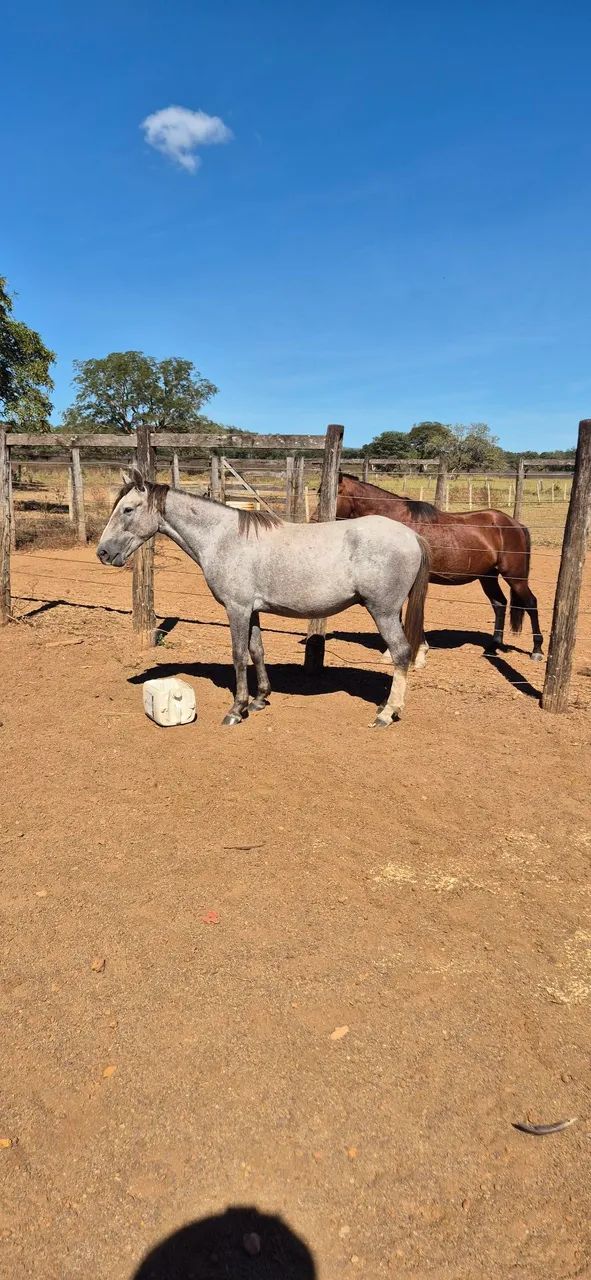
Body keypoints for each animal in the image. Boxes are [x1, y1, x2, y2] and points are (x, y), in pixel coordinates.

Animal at [97, 469, 431, 728]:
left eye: (128, 509)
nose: (103, 552)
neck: (224, 538)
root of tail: (412, 536)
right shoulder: (252, 610)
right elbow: (257, 651)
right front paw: (259, 699)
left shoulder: (237, 609)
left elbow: (238, 655)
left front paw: (236, 709)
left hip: (383, 611)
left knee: (401, 653)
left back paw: (387, 713)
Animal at [335, 473, 543, 664]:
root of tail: (516, 525)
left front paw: (411, 652)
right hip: (488, 577)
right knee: (500, 604)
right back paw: (492, 647)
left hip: (515, 578)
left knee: (531, 603)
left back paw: (537, 651)